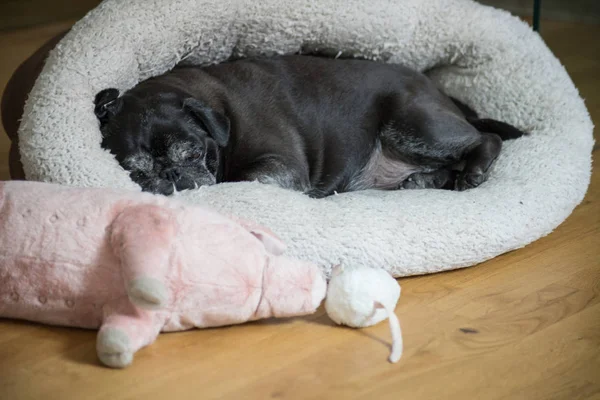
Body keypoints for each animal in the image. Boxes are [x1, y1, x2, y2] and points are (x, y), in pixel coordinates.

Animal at [94, 55, 524, 198]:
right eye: (134, 172)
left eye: (195, 153)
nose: (170, 175)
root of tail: (441, 93)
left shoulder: (279, 165)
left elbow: (242, 179)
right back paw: (423, 181)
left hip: (415, 125)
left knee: (484, 138)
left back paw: (474, 172)